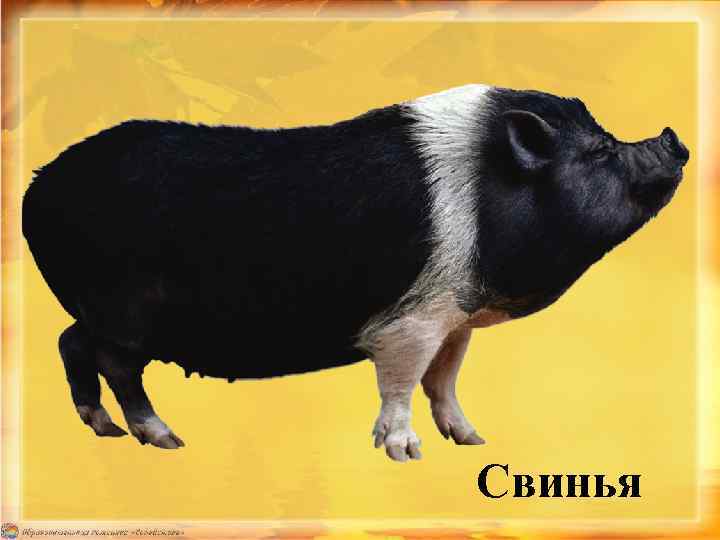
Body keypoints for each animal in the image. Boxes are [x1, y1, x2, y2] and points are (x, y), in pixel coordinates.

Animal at [22, 84, 688, 461]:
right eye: (600, 153)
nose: (673, 137)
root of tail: (37, 187)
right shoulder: (410, 322)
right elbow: (400, 384)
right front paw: (405, 455)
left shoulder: (454, 316)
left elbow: (443, 380)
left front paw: (472, 441)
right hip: (126, 313)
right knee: (113, 363)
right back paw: (164, 439)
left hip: (98, 311)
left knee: (69, 341)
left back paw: (105, 430)